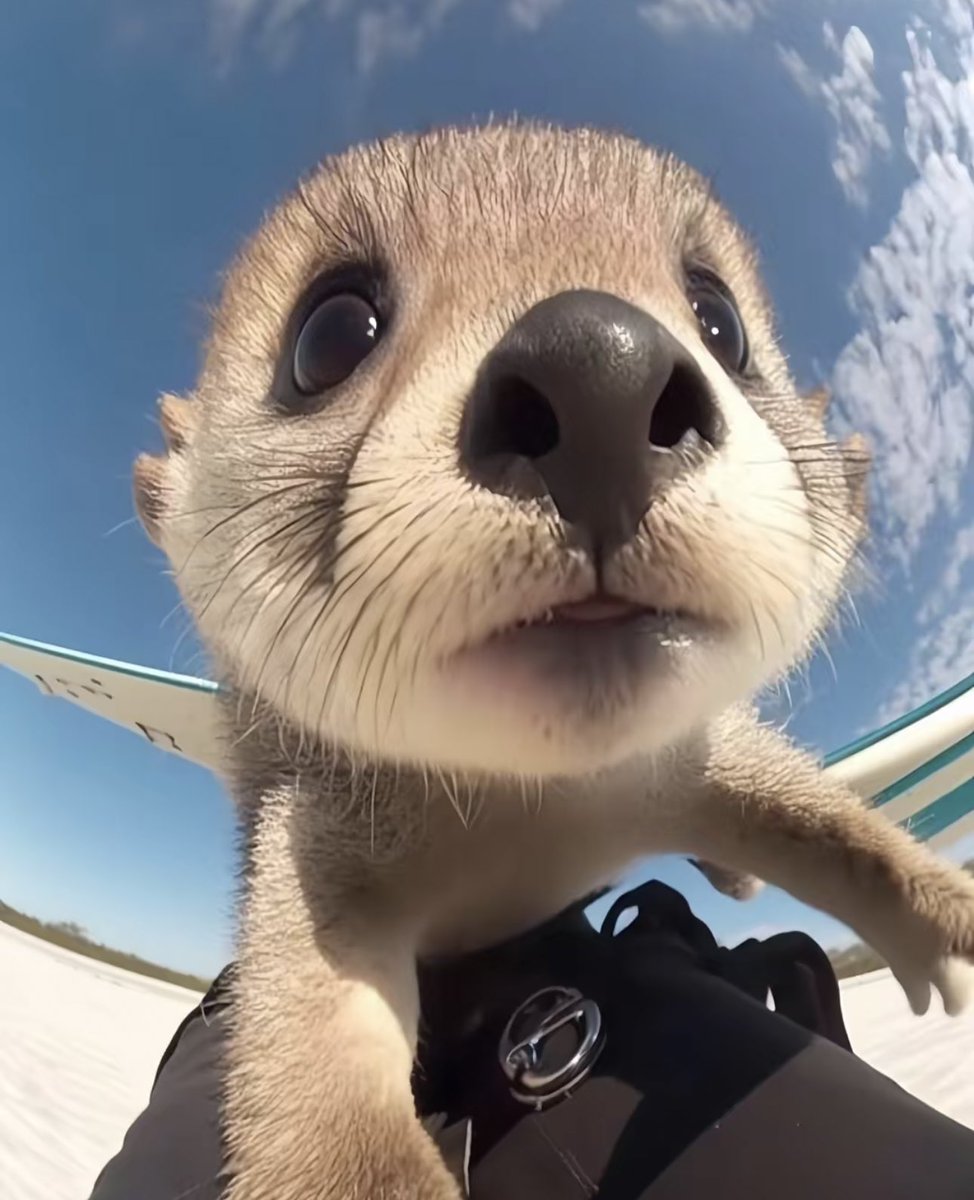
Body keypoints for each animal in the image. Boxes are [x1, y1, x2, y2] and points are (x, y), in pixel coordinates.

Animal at [131, 124, 974, 1200]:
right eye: (326, 334)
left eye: (720, 321)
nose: (598, 368)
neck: (522, 818)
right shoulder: (312, 860)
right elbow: (324, 1108)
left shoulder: (679, 764)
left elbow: (825, 825)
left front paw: (939, 918)